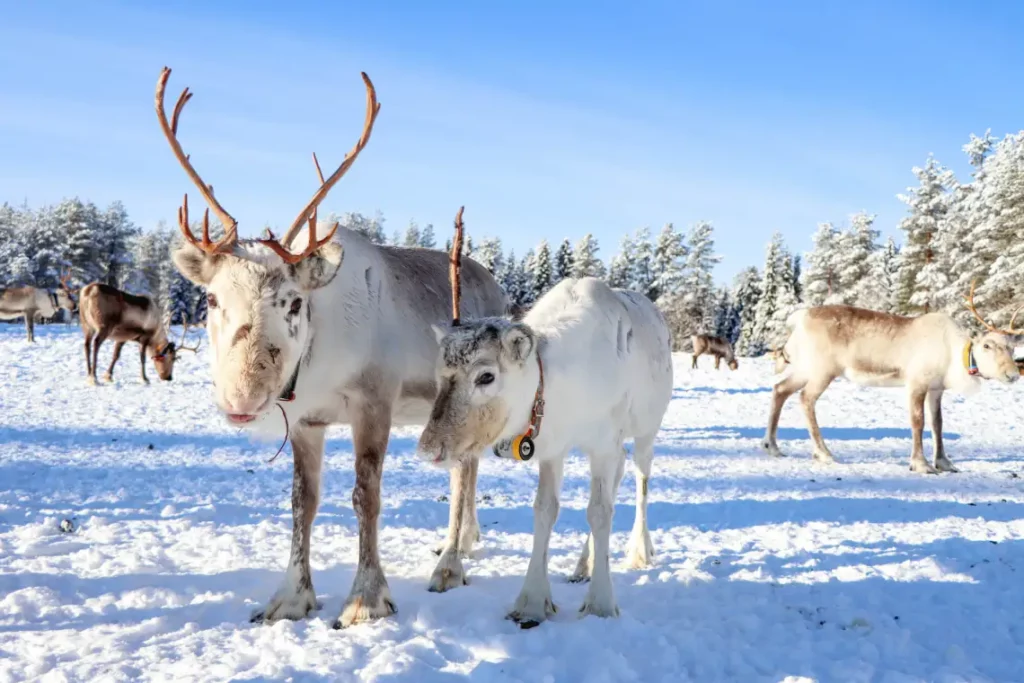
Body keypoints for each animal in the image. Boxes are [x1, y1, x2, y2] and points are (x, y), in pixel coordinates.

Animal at [415, 278, 671, 630]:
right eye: (439, 374)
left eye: (486, 376)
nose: (429, 449)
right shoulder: (553, 449)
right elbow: (545, 510)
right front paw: (533, 602)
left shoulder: (604, 443)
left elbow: (600, 512)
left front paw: (601, 604)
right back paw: (584, 563)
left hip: (647, 430)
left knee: (641, 480)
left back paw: (639, 551)